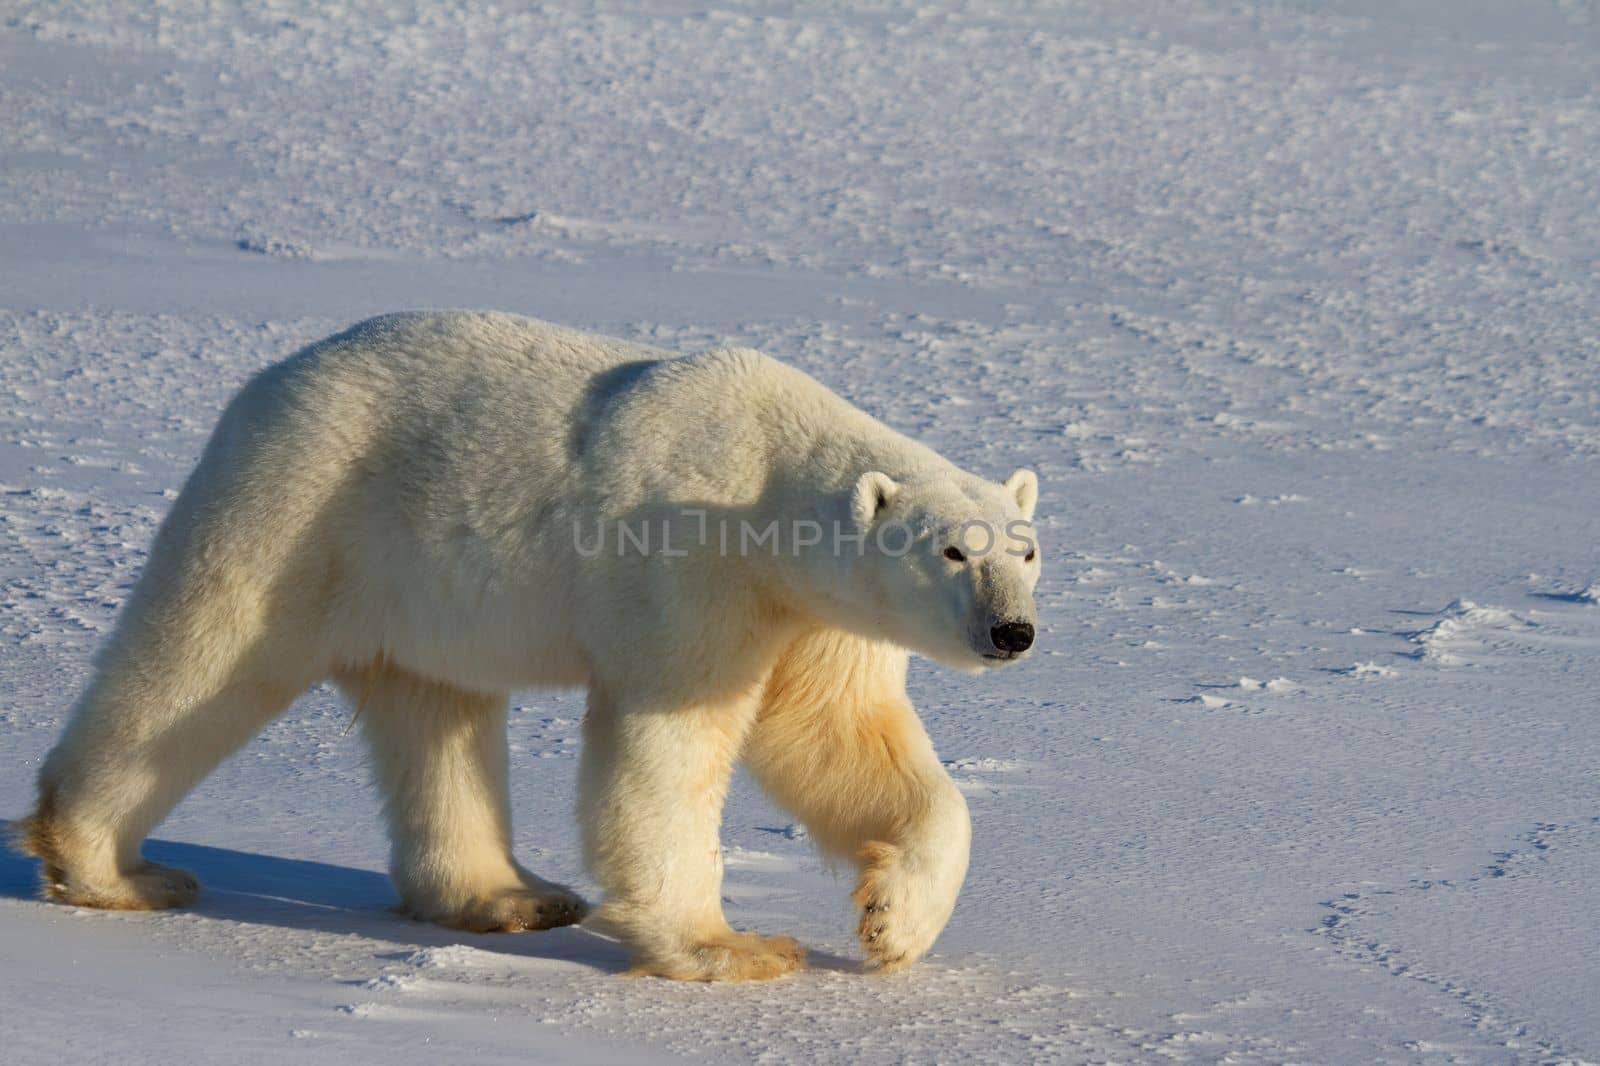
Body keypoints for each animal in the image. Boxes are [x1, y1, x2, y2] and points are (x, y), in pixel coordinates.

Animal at [18, 308, 1043, 979]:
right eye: (953, 549)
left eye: (1027, 548)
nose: (1014, 630)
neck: (766, 482)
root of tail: (269, 381)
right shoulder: (688, 564)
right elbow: (668, 747)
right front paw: (732, 948)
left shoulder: (812, 615)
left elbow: (842, 739)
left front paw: (893, 922)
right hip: (304, 507)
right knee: (200, 665)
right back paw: (114, 868)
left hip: (417, 587)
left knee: (436, 714)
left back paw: (509, 897)